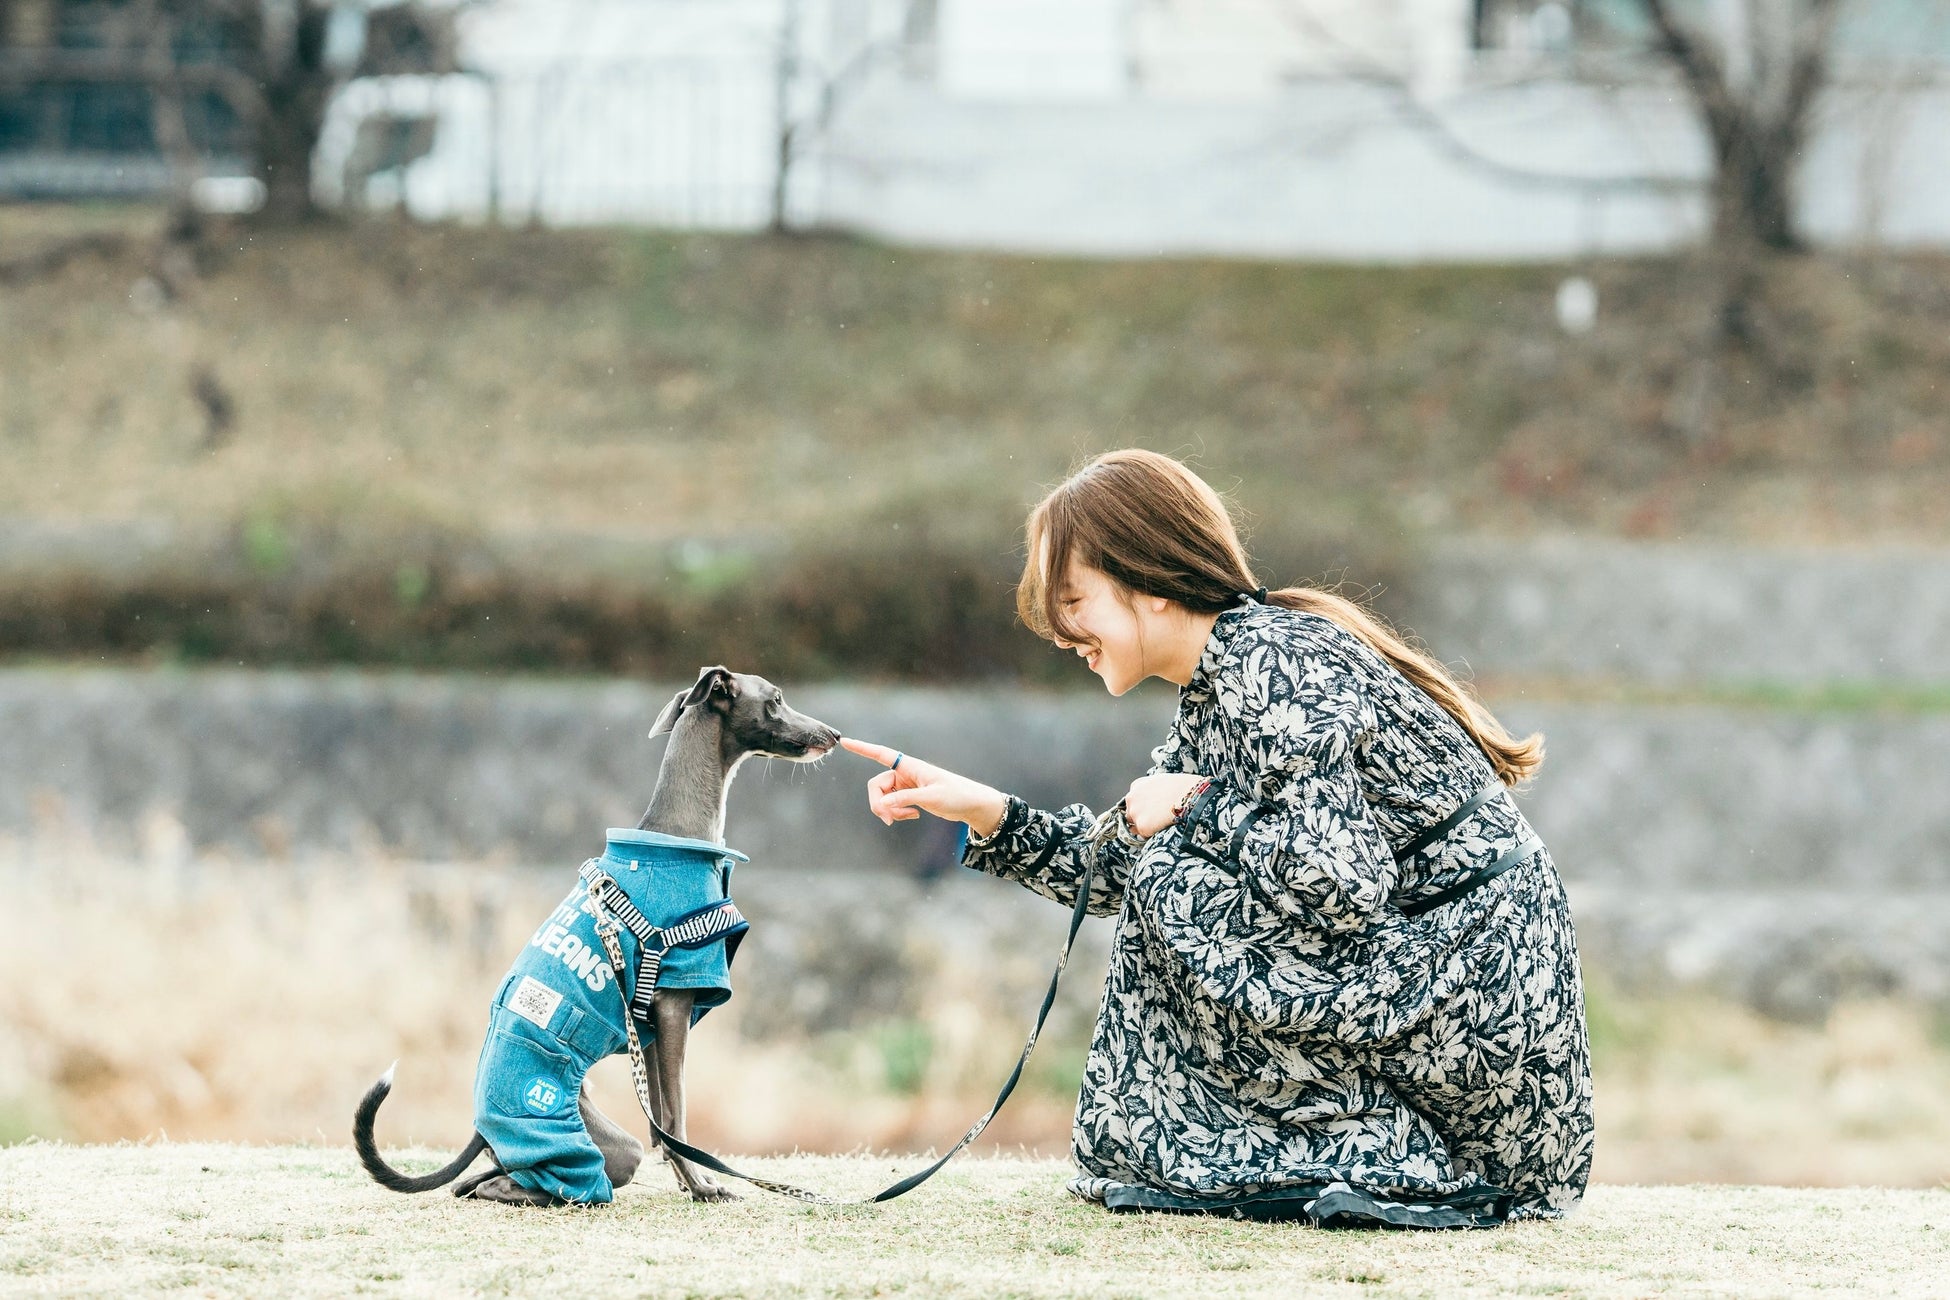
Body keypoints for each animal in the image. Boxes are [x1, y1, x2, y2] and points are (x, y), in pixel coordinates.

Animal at [353, 665, 840, 1205]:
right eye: (776, 699)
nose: (835, 735)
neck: (677, 834)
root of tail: (481, 1129)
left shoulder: (653, 1023)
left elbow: (662, 1123)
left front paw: (689, 1184)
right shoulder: (675, 1003)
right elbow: (677, 1118)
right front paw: (704, 1186)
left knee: (476, 1181)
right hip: (601, 1147)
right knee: (525, 1182)